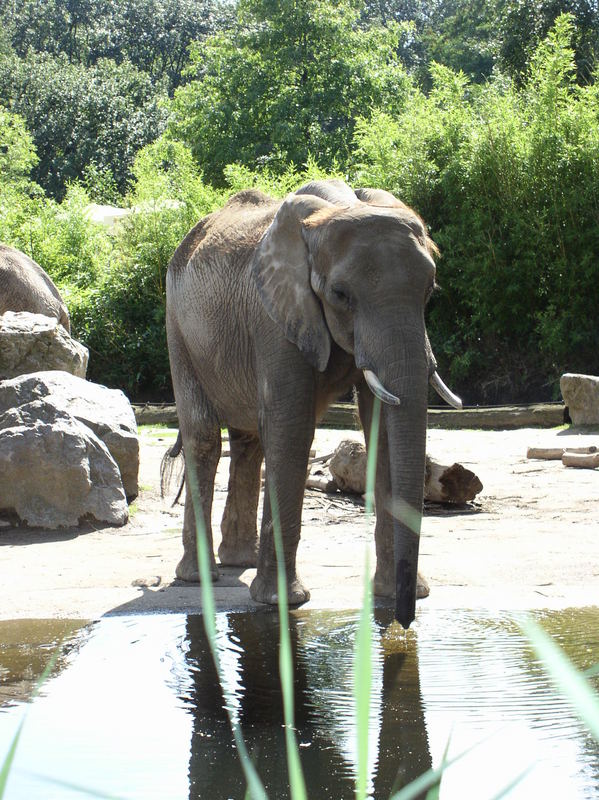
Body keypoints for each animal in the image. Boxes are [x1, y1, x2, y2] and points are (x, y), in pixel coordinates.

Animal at [166, 178, 462, 628]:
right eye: (340, 294)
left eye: (430, 290)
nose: (404, 621)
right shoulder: (273, 317)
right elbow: (291, 427)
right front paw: (282, 602)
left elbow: (381, 426)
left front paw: (393, 593)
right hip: (177, 327)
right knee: (204, 438)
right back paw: (200, 576)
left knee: (248, 442)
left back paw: (239, 561)